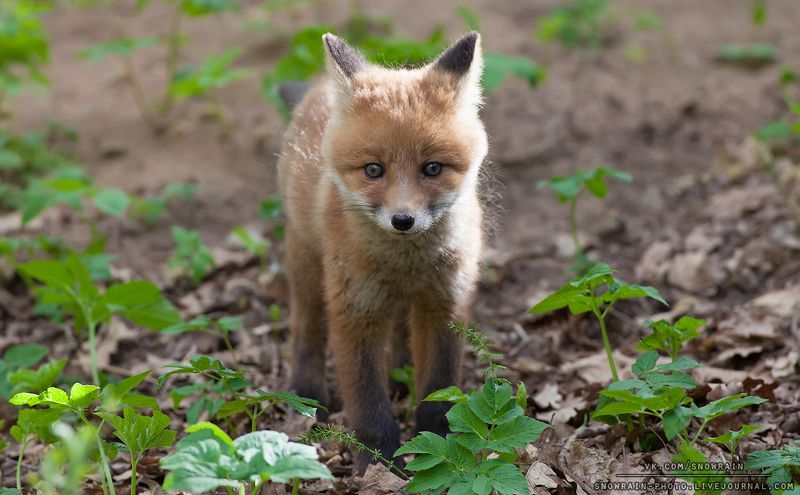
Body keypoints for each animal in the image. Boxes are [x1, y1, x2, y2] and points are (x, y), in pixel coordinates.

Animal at [276, 31, 489, 469]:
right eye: (374, 170)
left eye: (432, 168)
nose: (402, 220)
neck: (405, 266)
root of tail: (316, 89)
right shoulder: (355, 310)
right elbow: (367, 400)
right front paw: (379, 461)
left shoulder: (445, 304)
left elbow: (438, 390)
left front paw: (440, 446)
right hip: (307, 267)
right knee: (306, 329)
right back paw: (306, 392)